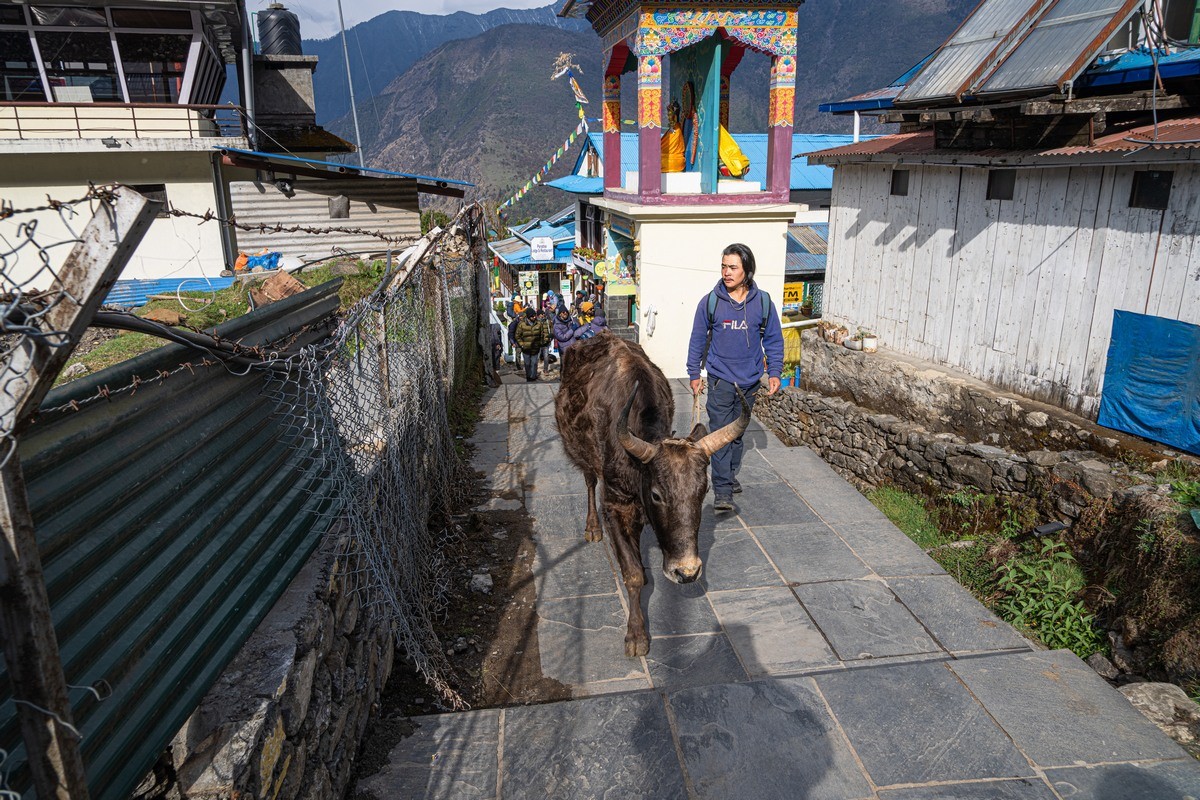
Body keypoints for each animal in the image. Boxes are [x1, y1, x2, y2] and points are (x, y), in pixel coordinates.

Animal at [554, 331, 744, 657]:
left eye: (703, 490)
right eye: (656, 495)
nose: (687, 572)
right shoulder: (614, 505)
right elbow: (632, 573)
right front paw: (636, 635)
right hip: (582, 454)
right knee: (589, 481)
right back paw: (592, 528)